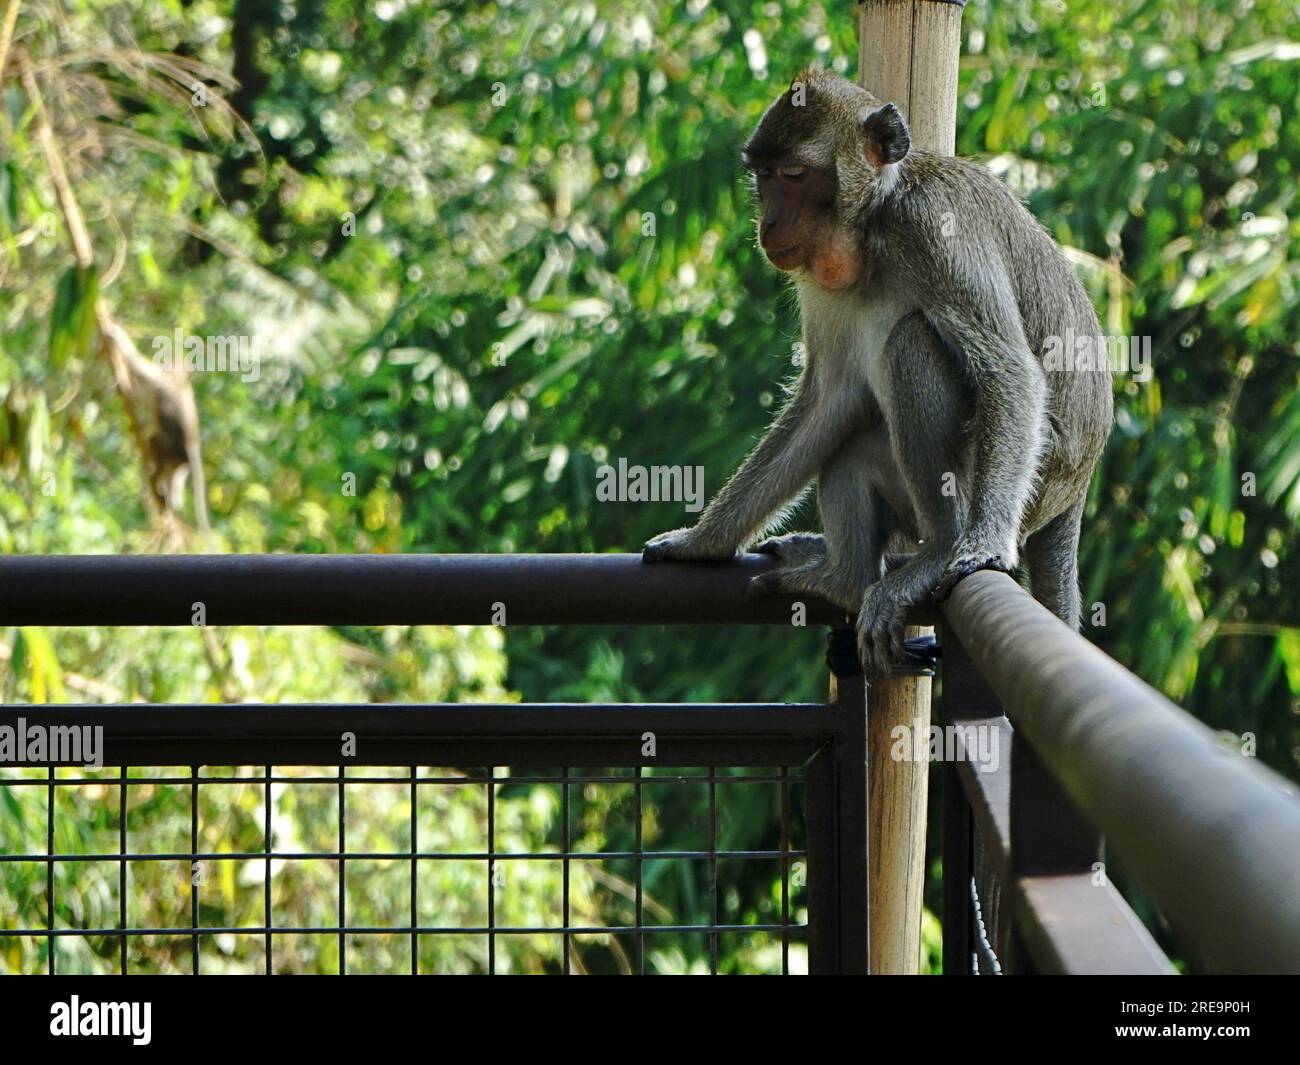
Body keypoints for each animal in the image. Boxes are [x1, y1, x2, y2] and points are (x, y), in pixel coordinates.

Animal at [643, 68, 1113, 677]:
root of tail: (1077, 489)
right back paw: (844, 579)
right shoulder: (819, 281)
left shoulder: (936, 228)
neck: (876, 227)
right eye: (764, 178)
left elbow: (1007, 369)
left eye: (794, 176)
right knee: (850, 450)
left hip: (1035, 476)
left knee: (911, 345)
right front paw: (701, 542)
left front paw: (982, 545)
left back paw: (939, 551)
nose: (768, 222)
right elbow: (829, 400)